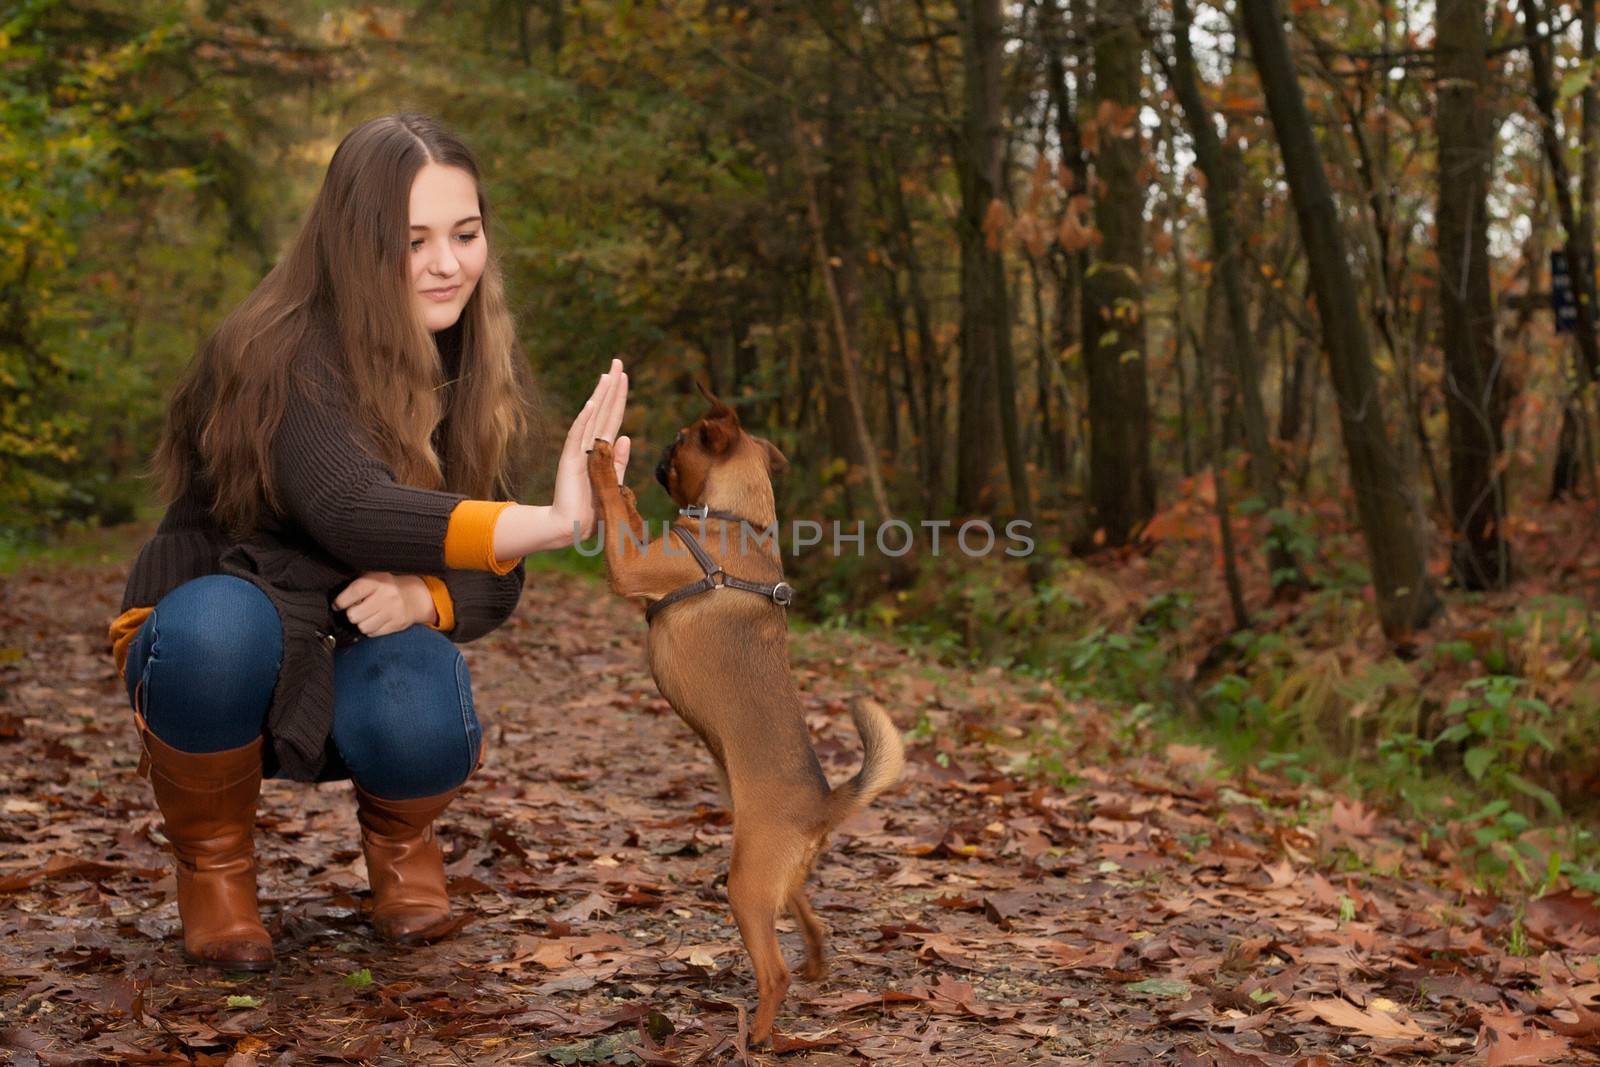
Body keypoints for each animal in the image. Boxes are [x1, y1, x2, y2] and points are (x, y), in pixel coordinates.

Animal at [585, 396, 915, 1049]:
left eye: (682, 438)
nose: (659, 451)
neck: (737, 520)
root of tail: (825, 805)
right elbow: (626, 514)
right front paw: (629, 490)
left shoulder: (631, 568)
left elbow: (612, 508)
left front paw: (607, 464)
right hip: (778, 884)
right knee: (811, 927)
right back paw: (815, 969)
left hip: (746, 883)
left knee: (775, 971)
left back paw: (759, 1034)